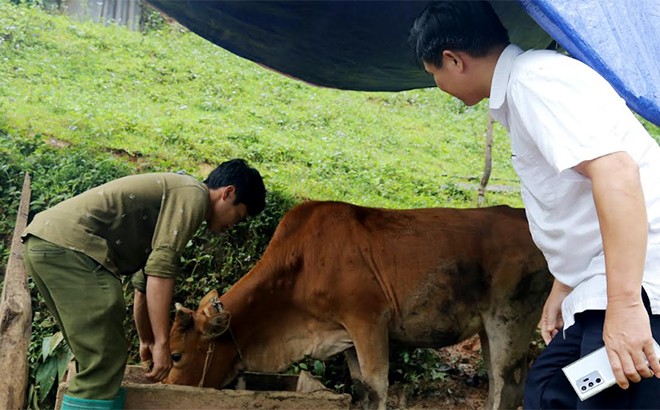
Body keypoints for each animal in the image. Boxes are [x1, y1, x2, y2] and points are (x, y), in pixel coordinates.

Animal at [165, 202, 552, 410]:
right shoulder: (346, 334)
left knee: (504, 385)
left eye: (176, 354)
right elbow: (362, 388)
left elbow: (378, 386)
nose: (168, 385)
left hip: (509, 320)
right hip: (490, 327)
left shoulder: (368, 321)